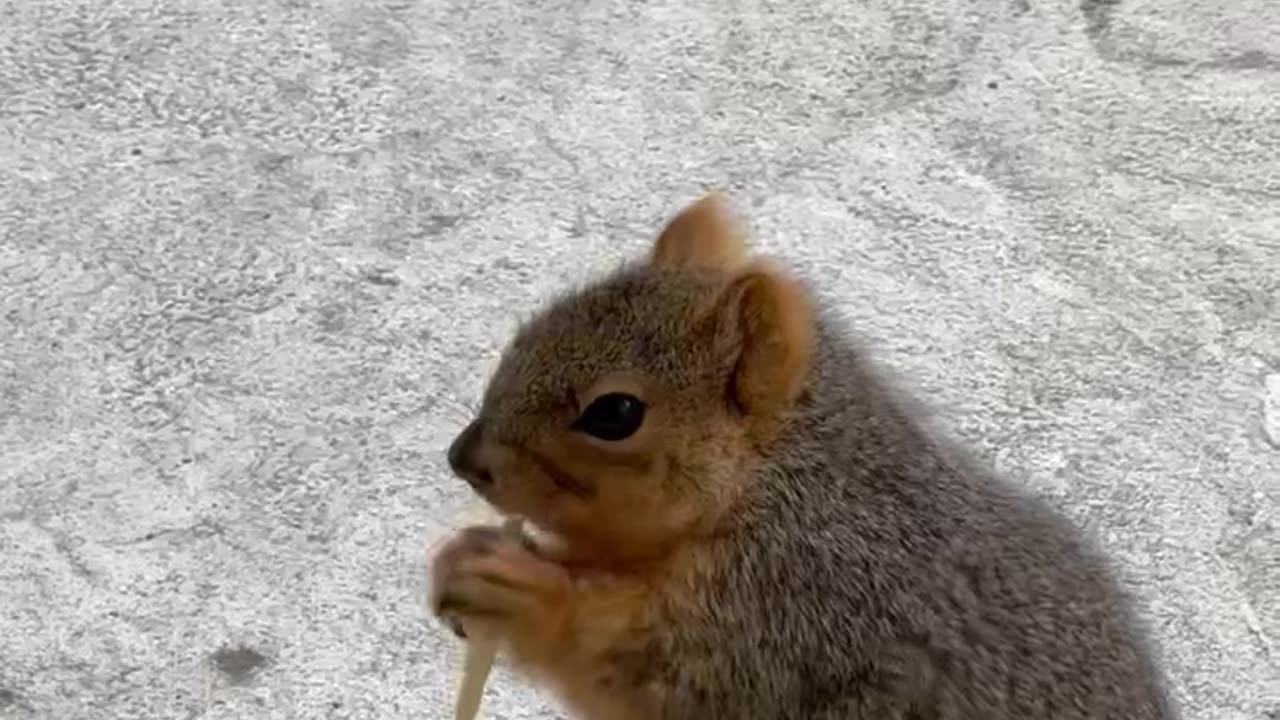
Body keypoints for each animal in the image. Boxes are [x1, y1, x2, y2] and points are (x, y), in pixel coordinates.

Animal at [432, 192, 1177, 717]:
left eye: (614, 414)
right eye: (530, 329)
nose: (464, 459)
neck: (779, 482)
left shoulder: (797, 610)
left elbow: (656, 670)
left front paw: (518, 588)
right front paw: (461, 555)